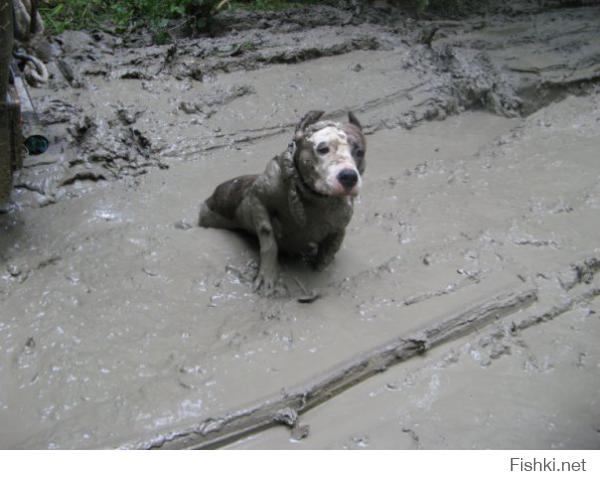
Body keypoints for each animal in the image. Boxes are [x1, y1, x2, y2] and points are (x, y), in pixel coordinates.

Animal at [199, 110, 366, 294]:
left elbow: (326, 257)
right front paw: (267, 276)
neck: (312, 197)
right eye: (322, 149)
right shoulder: (258, 200)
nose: (349, 176)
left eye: (360, 152)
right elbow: (269, 241)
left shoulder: (339, 228)